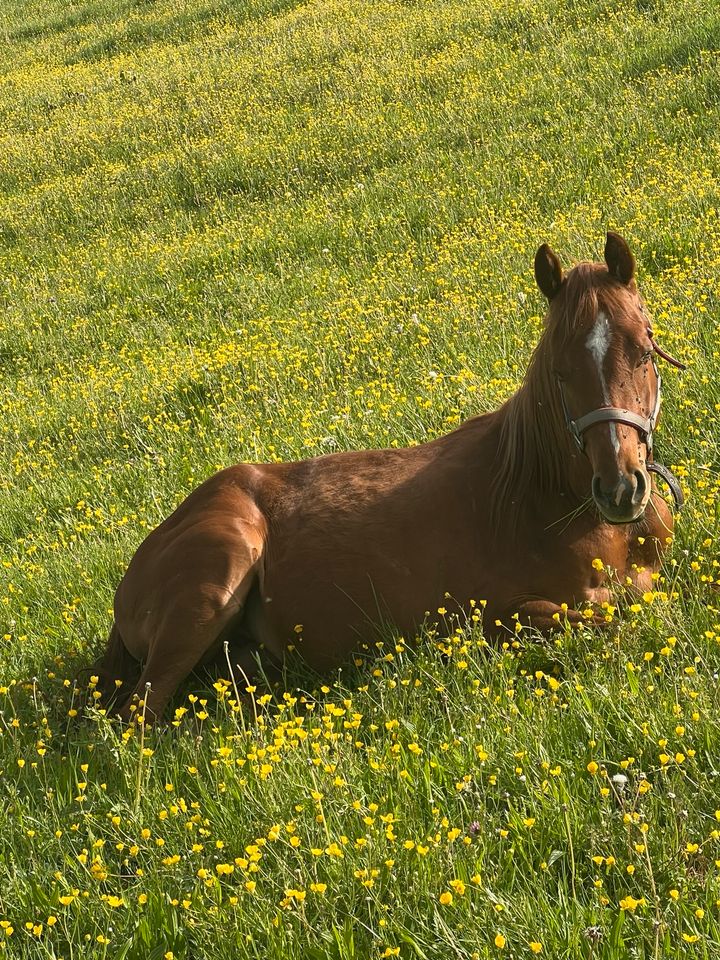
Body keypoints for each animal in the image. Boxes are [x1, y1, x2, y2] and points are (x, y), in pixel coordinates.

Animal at [93, 232, 684, 720]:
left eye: (644, 346)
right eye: (559, 370)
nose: (620, 487)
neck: (539, 495)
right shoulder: (499, 616)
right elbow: (610, 621)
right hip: (214, 582)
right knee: (138, 717)